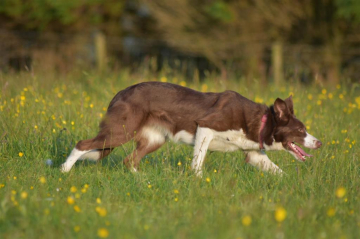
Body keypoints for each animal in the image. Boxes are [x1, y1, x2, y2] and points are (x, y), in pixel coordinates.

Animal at [60, 82, 322, 176]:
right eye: (301, 131)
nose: (319, 143)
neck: (263, 121)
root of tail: (121, 92)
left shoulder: (254, 155)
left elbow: (279, 172)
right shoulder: (205, 128)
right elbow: (198, 162)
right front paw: (198, 181)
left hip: (154, 140)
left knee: (129, 160)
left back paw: (141, 180)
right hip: (120, 131)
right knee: (82, 144)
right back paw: (63, 171)